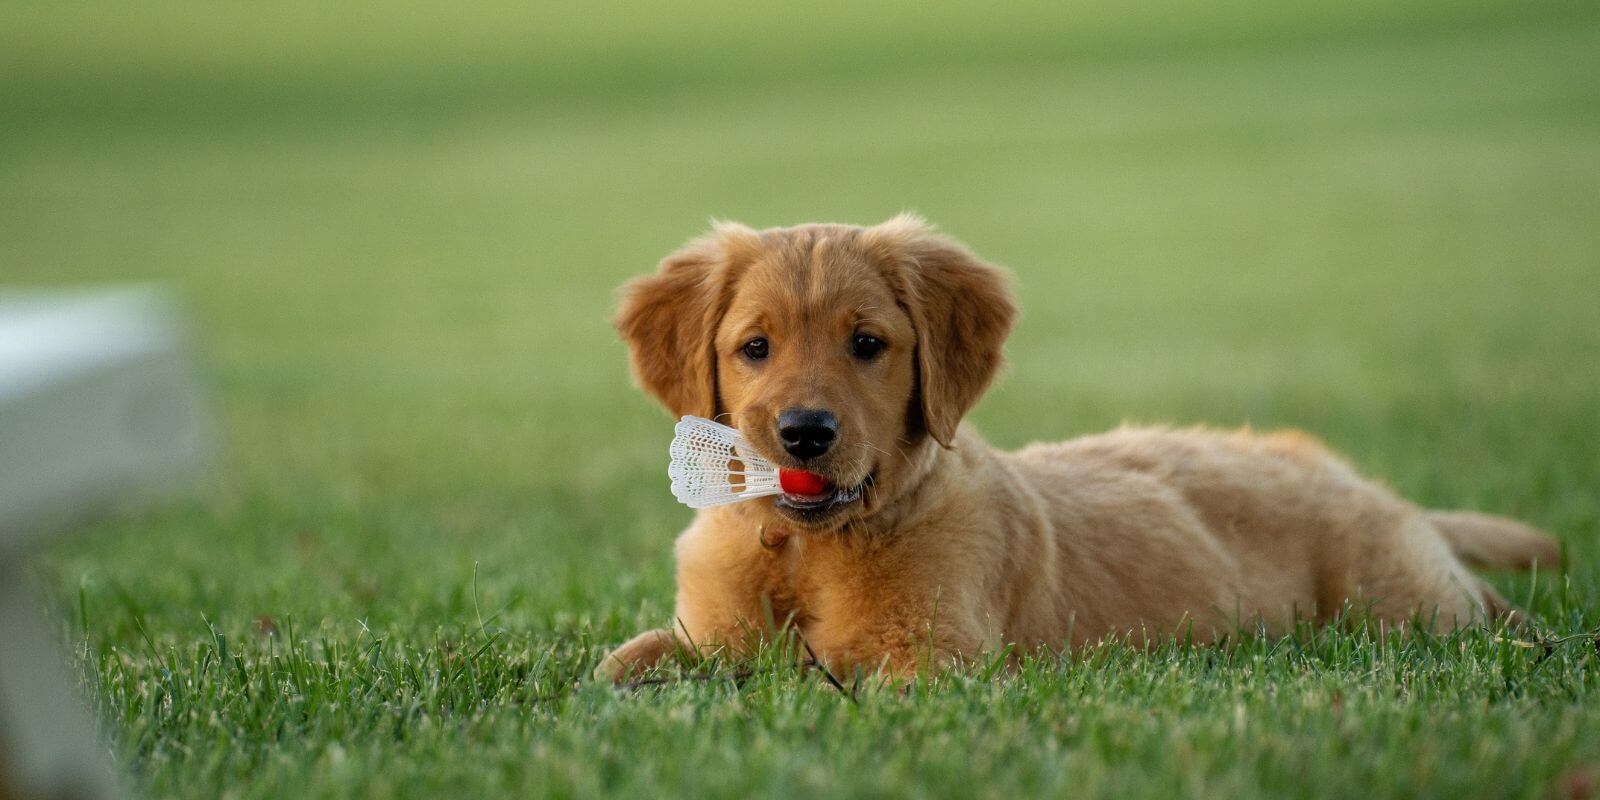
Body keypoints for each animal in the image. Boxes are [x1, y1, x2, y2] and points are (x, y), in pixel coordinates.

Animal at [595, 216, 1555, 678]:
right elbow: (626, 663)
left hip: (1398, 603)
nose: (804, 431)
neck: (803, 547)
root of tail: (1376, 488)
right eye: (754, 347)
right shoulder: (708, 632)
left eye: (867, 344)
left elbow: (817, 682)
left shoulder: (932, 663)